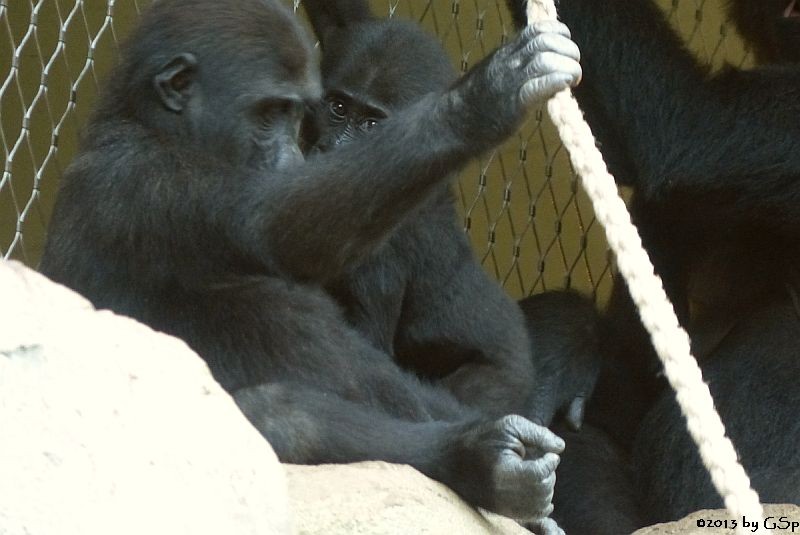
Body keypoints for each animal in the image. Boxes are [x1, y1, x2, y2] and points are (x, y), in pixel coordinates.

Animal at [39, 0, 580, 528]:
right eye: (272, 114)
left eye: (295, 114)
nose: (298, 154)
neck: (145, 126)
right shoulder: (152, 186)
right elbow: (274, 228)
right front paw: (485, 97)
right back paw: (481, 464)